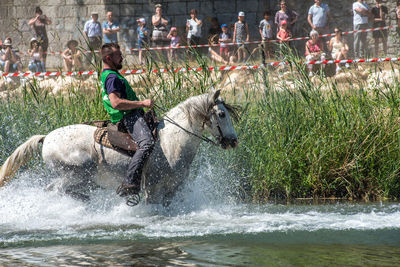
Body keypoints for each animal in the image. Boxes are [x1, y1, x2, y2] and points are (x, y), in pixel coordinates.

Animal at [0, 91, 238, 206]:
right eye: (221, 114)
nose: (234, 141)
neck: (171, 143)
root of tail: (47, 137)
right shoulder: (153, 188)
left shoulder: (175, 188)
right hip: (76, 174)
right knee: (54, 189)